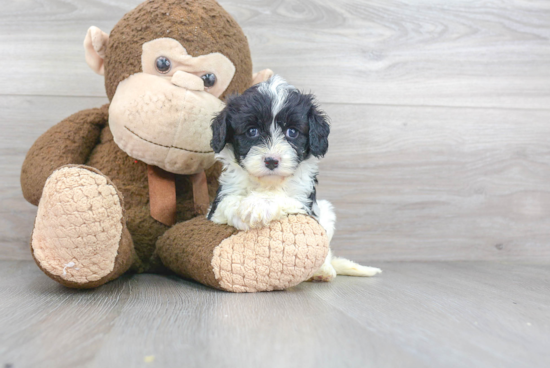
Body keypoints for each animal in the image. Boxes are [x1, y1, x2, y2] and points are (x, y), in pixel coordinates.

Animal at [205, 75, 382, 282]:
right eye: (252, 131)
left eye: (292, 132)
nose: (271, 161)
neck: (268, 183)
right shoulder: (216, 206)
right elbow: (227, 203)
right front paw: (246, 212)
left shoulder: (305, 204)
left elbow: (285, 198)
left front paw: (259, 204)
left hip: (327, 211)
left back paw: (323, 271)